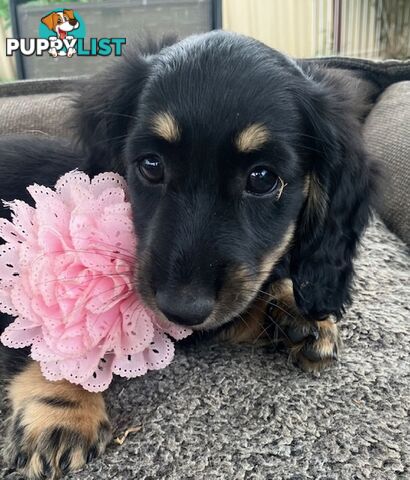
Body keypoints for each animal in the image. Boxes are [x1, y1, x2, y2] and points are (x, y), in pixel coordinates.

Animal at [0, 31, 390, 478]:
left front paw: (296, 311)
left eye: (263, 178)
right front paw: (61, 408)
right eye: (151, 165)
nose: (182, 308)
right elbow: (47, 333)